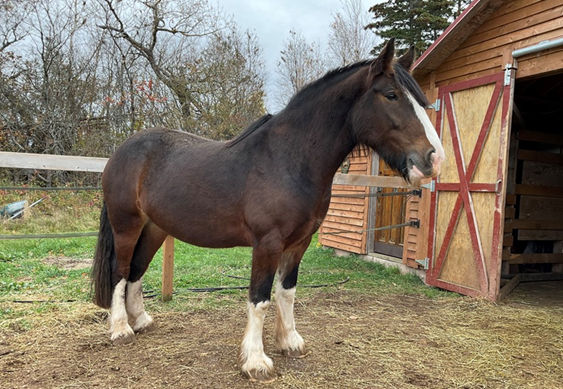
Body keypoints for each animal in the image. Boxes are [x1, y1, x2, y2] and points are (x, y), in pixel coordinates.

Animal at [91, 40, 446, 382]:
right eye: (392, 95)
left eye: (421, 99)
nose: (434, 159)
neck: (288, 159)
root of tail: (121, 151)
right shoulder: (267, 243)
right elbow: (259, 299)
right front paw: (256, 362)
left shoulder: (299, 243)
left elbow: (286, 293)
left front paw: (290, 342)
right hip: (127, 226)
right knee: (120, 271)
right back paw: (120, 330)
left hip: (154, 229)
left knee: (136, 271)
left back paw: (141, 321)